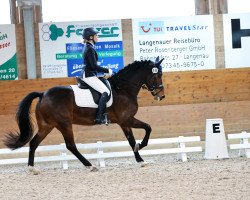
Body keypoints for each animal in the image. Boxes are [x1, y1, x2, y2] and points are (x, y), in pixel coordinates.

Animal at [3, 56, 165, 172]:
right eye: (157, 75)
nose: (161, 96)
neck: (123, 89)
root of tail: (43, 94)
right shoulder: (126, 119)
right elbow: (148, 128)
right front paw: (141, 146)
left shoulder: (124, 122)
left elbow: (131, 140)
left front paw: (140, 160)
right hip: (64, 124)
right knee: (70, 145)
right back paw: (90, 165)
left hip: (47, 125)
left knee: (34, 143)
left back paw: (32, 168)